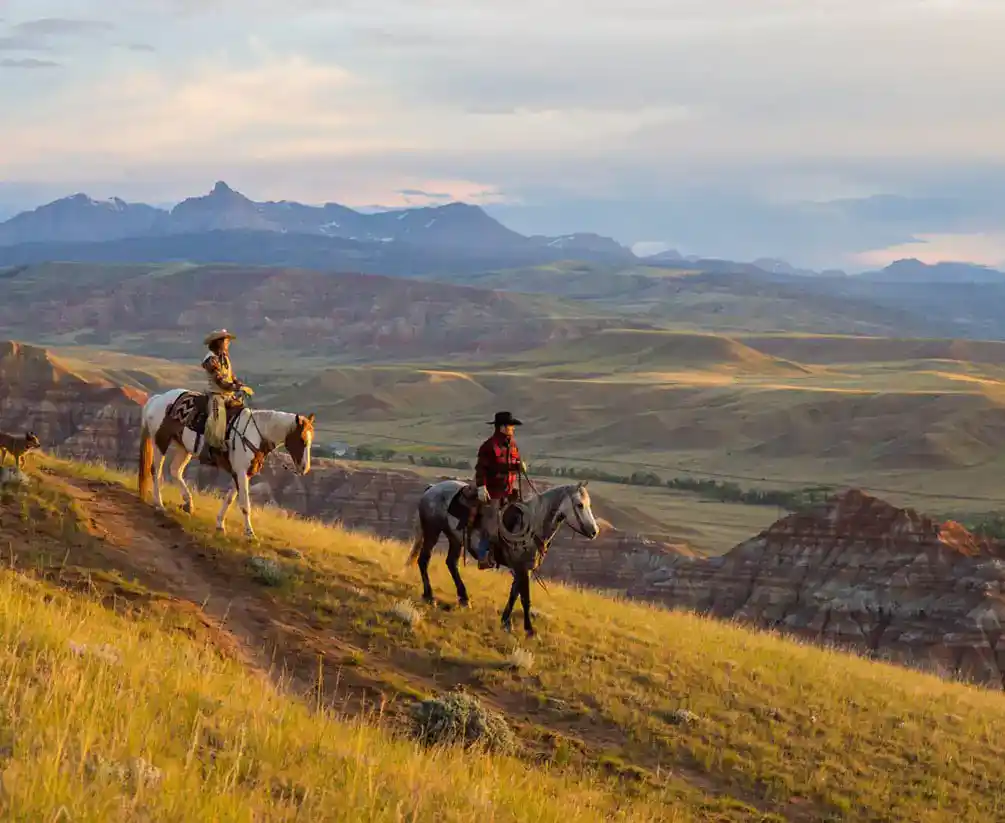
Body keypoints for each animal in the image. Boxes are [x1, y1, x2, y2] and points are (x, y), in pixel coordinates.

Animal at [135, 387, 311, 542]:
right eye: (302, 440)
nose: (304, 468)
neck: (255, 434)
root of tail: (158, 399)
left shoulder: (240, 473)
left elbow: (230, 499)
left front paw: (220, 524)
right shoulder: (241, 472)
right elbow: (245, 504)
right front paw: (250, 534)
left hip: (183, 447)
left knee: (175, 471)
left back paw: (188, 503)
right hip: (161, 442)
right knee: (156, 471)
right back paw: (159, 504)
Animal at [406, 480, 598, 639]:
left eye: (589, 504)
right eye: (580, 505)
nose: (594, 531)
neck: (532, 525)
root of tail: (432, 488)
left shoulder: (523, 568)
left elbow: (514, 594)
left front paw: (506, 622)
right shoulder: (521, 568)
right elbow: (525, 598)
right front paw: (529, 630)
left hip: (455, 538)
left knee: (451, 563)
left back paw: (464, 598)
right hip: (432, 531)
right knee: (424, 560)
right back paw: (430, 596)